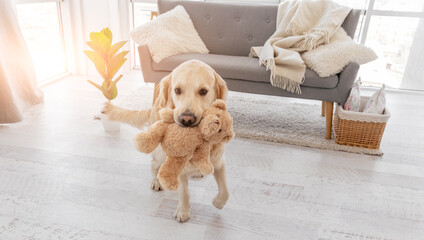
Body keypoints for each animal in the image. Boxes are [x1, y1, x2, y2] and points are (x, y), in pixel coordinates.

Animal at [102, 59, 229, 221]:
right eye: (177, 90)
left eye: (203, 91)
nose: (186, 119)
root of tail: (154, 105)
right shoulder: (178, 165)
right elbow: (184, 192)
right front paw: (183, 211)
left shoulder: (219, 161)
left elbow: (225, 191)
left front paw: (218, 202)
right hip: (159, 153)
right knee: (154, 165)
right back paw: (156, 181)